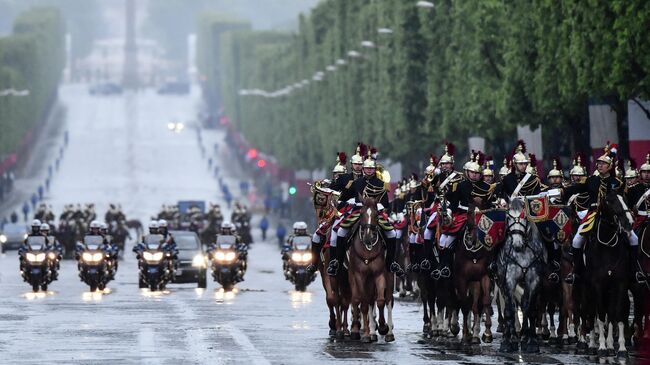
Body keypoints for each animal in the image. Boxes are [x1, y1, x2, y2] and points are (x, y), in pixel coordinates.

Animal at [346, 196, 388, 342]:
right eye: (361, 214)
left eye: (376, 214)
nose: (368, 237)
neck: (368, 249)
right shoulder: (360, 275)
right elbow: (363, 303)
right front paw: (365, 334)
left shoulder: (378, 273)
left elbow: (380, 301)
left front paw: (382, 327)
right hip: (352, 274)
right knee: (356, 299)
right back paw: (356, 330)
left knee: (370, 299)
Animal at [498, 198, 544, 352]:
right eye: (507, 217)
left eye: (524, 217)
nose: (517, 244)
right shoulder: (509, 280)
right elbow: (510, 310)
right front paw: (507, 341)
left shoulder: (534, 281)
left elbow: (529, 309)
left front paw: (531, 341)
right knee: (508, 305)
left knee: (523, 304)